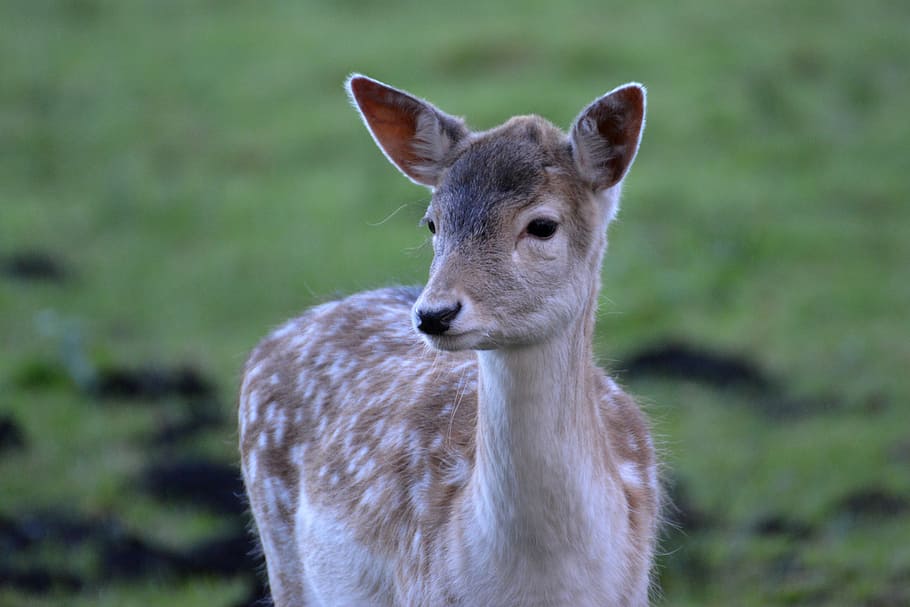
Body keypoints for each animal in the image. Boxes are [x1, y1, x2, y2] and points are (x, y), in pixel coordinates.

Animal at [239, 74, 660, 606]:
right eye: (433, 222)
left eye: (543, 225)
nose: (433, 313)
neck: (541, 586)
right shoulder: (421, 584)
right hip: (279, 542)